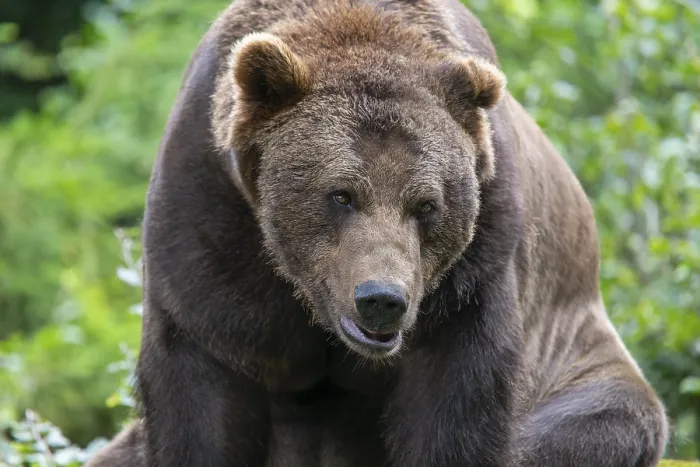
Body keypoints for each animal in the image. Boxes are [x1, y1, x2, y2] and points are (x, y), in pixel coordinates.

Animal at [86, 0, 669, 466]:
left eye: (426, 205)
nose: (381, 299)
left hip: (579, 365)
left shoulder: (471, 271)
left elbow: (455, 405)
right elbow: (203, 388)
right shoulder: (210, 218)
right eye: (341, 195)